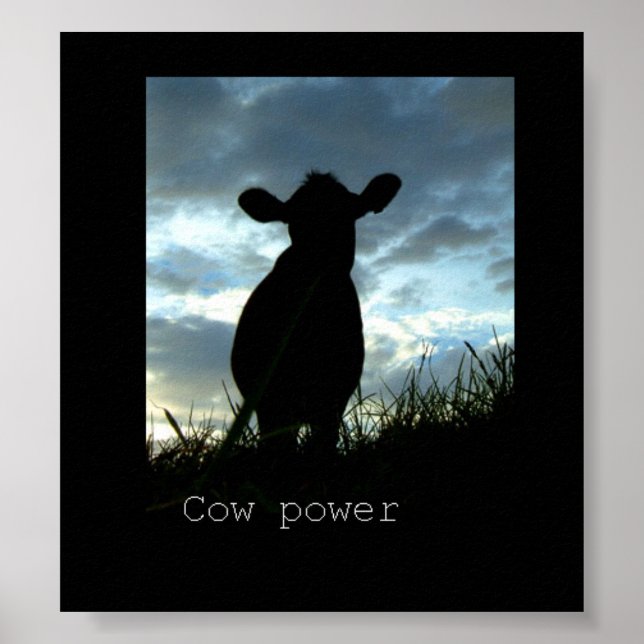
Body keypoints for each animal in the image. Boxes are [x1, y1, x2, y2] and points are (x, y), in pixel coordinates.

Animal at [231, 171, 401, 457]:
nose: (320, 258)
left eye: (348, 213)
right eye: (293, 219)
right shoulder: (270, 394)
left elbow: (324, 441)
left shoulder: (335, 391)